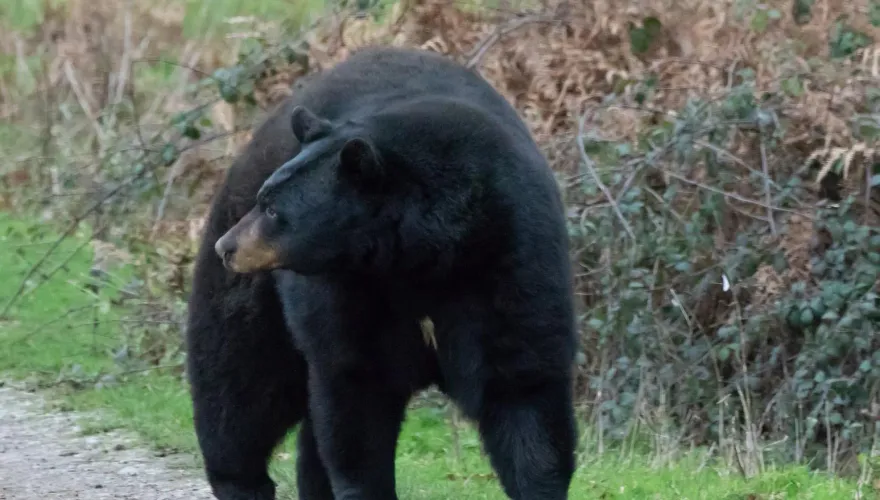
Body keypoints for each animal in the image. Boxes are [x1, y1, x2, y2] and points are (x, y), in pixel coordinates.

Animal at [187, 46, 578, 500]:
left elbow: (522, 387)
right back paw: (241, 481)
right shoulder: (349, 292)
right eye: (265, 198)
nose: (227, 247)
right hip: (255, 289)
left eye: (272, 209)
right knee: (238, 374)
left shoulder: (512, 259)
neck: (423, 257)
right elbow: (356, 390)